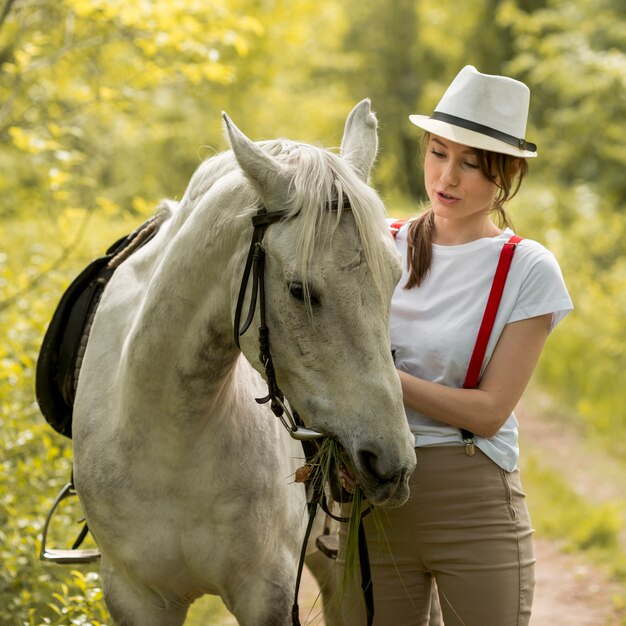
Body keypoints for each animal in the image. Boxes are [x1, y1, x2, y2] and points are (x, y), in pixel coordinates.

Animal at [73, 100, 414, 620]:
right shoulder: (135, 597)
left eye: (395, 277)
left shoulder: (267, 594)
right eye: (298, 290)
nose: (391, 460)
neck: (172, 435)